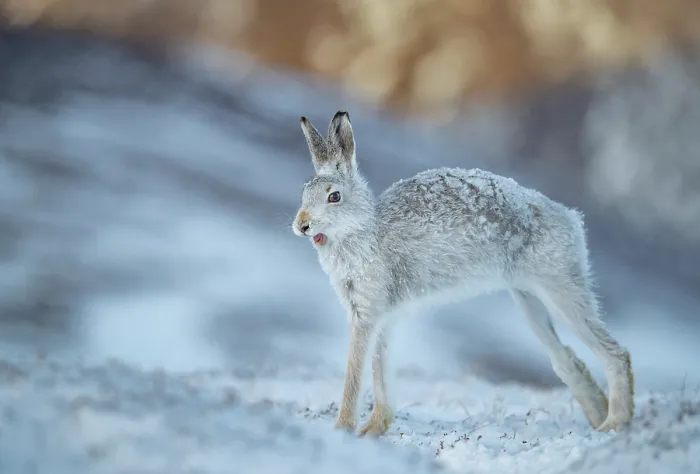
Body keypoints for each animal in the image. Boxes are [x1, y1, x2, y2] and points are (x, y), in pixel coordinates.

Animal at [292, 111, 634, 437]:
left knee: (615, 353)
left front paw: (343, 429)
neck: (362, 230)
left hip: (560, 287)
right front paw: (374, 429)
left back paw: (615, 423)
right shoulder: (382, 318)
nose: (301, 225)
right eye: (304, 193)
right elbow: (380, 369)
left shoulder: (367, 314)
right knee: (565, 359)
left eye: (334, 196)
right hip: (528, 299)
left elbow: (356, 371)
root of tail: (571, 219)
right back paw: (599, 418)